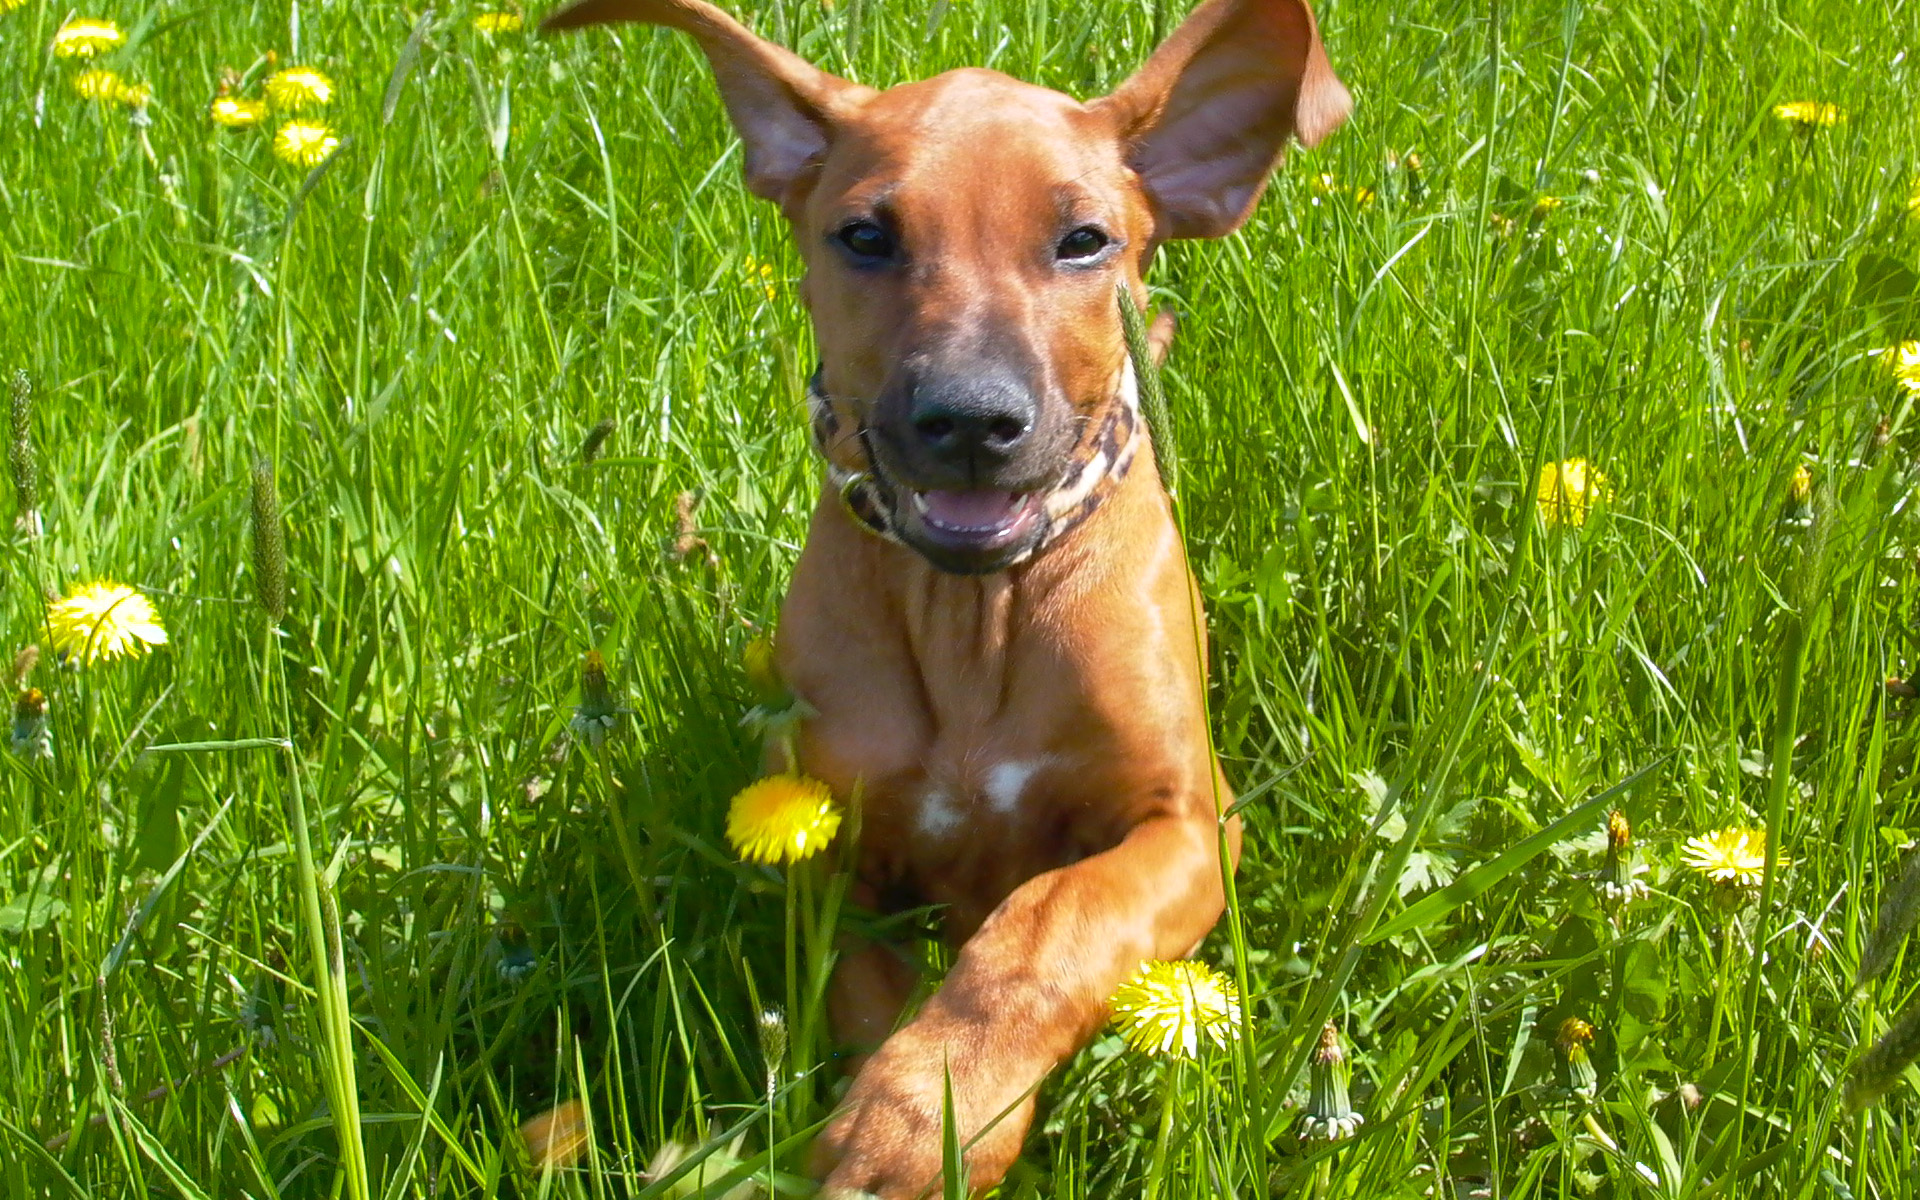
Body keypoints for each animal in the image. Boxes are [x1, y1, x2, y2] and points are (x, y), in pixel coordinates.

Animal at [543, 0, 1348, 1193]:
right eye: (865, 237)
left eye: (1084, 240)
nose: (970, 419)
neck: (976, 623)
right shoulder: (824, 858)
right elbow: (872, 999)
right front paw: (913, 1109)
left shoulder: (1189, 827)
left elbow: (1047, 925)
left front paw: (932, 1112)